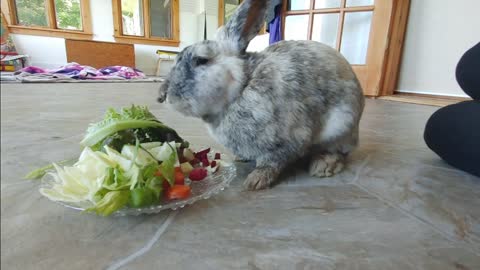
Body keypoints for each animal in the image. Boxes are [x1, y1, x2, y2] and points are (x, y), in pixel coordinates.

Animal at [158, 0, 364, 190]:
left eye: (201, 60)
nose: (164, 96)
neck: (242, 87)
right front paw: (240, 159)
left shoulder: (284, 141)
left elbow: (271, 162)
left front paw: (255, 181)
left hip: (340, 126)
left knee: (338, 152)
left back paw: (322, 166)